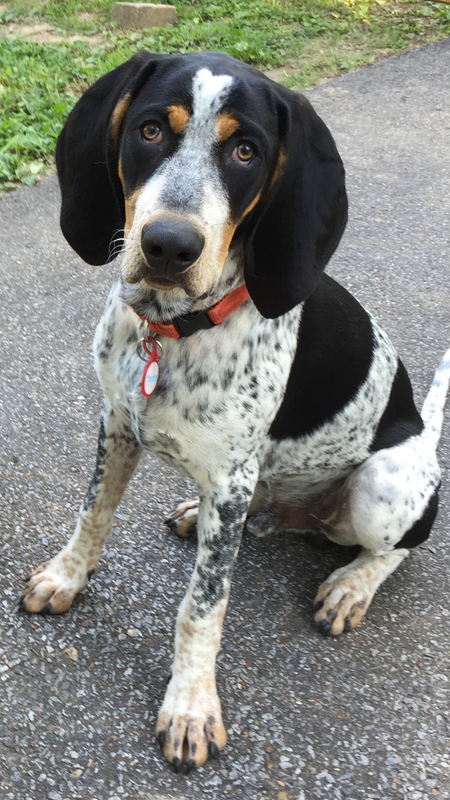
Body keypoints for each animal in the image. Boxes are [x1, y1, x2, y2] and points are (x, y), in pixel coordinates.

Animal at [20, 51, 450, 776]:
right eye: (150, 131)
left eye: (246, 150)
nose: (168, 245)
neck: (173, 331)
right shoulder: (116, 424)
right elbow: (92, 514)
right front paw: (66, 577)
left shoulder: (229, 479)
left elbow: (202, 606)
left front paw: (191, 705)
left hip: (382, 485)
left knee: (396, 547)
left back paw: (351, 585)